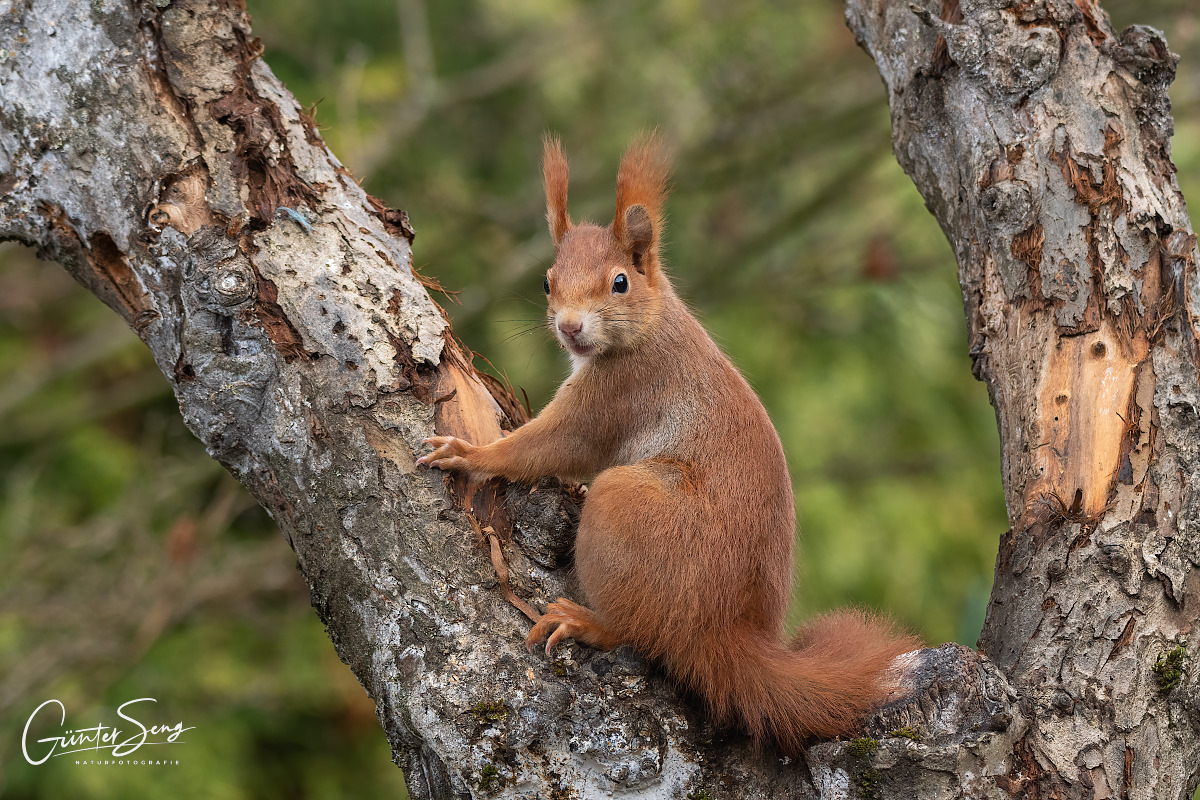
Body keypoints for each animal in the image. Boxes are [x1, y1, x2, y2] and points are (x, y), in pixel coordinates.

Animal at [417, 134, 912, 753]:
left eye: (620, 282)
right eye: (547, 281)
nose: (570, 327)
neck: (651, 324)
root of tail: (721, 630)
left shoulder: (619, 394)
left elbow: (552, 445)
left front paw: (470, 454)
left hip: (629, 510)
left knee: (641, 633)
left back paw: (587, 621)